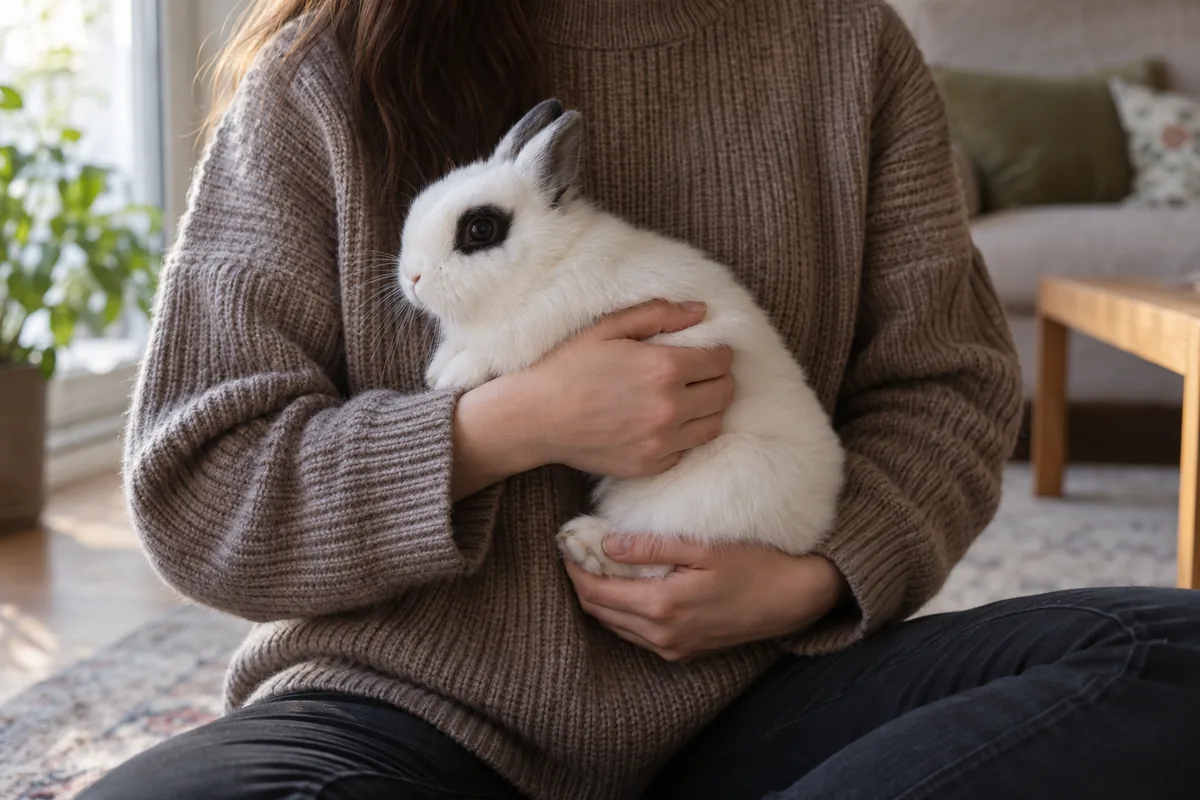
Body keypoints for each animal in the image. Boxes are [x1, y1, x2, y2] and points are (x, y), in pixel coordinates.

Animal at [397, 98, 845, 579]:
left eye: (480, 229)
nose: (412, 278)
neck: (549, 261)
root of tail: (812, 526)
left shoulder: (532, 328)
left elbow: (494, 354)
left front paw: (452, 377)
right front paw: (437, 369)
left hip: (703, 493)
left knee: (655, 555)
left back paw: (583, 541)